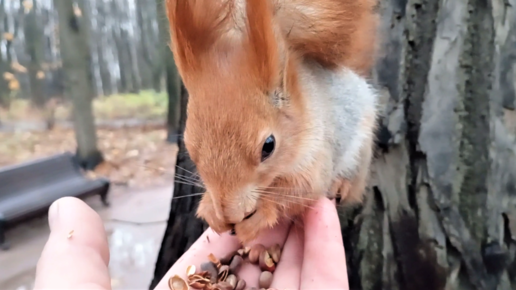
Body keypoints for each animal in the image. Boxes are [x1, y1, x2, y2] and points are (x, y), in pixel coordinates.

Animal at [166, 0, 378, 244]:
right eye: (189, 147)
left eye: (269, 146)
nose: (230, 214)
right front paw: (210, 208)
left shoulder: (317, 152)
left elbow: (304, 189)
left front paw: (261, 214)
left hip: (361, 152)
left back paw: (341, 184)